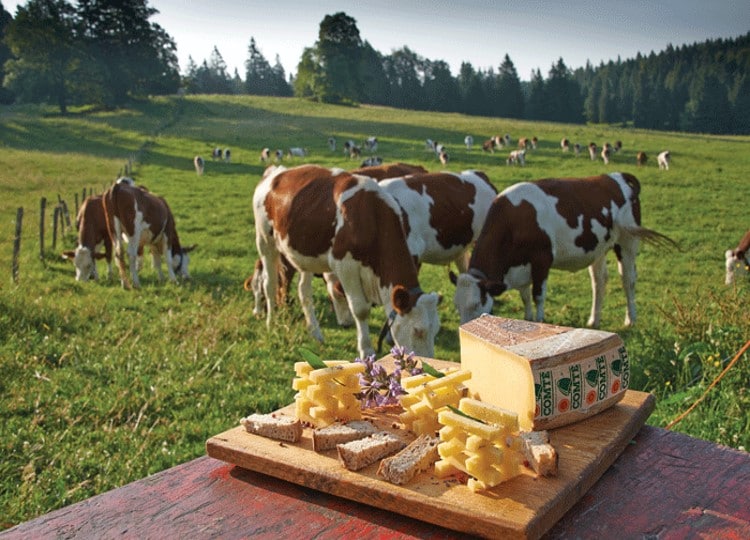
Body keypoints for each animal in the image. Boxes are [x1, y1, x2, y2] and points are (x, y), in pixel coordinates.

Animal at [254, 165, 440, 358]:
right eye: (418, 330)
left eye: (436, 331)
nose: (428, 362)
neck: (372, 215)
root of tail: (277, 171)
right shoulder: (345, 266)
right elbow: (360, 309)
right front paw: (366, 351)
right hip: (265, 241)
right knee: (269, 284)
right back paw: (270, 323)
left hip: (305, 254)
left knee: (304, 291)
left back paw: (315, 332)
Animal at [452, 171, 680, 326]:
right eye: (457, 306)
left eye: (476, 304)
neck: (514, 220)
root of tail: (616, 176)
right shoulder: (519, 266)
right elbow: (525, 296)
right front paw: (527, 320)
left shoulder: (542, 259)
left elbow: (537, 295)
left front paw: (539, 322)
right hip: (599, 247)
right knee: (599, 281)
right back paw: (594, 320)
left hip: (627, 241)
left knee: (628, 279)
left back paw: (630, 319)